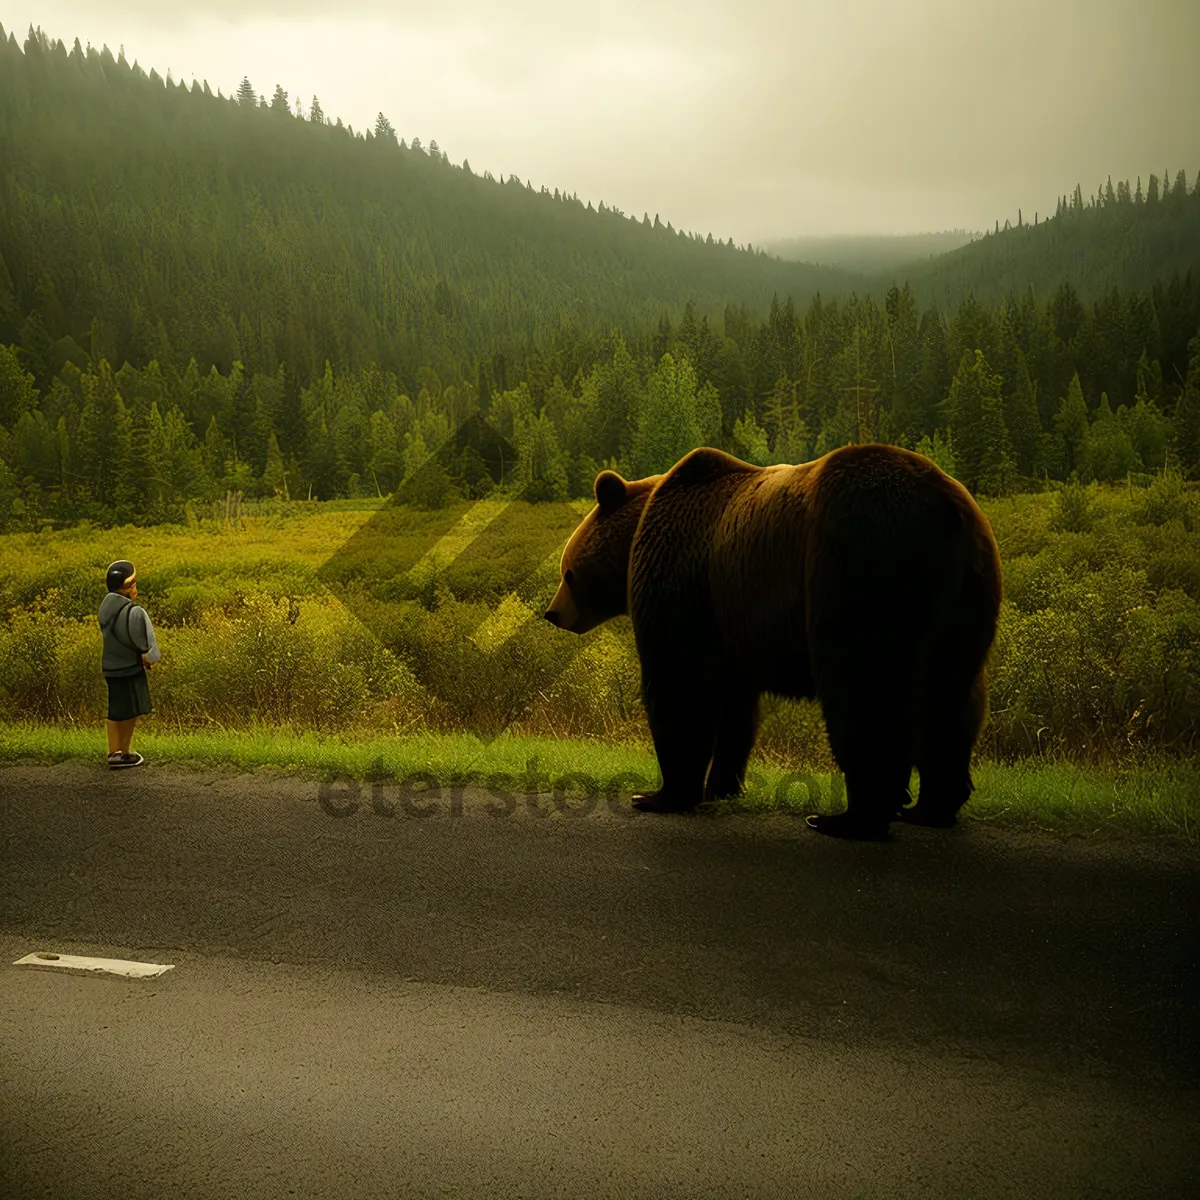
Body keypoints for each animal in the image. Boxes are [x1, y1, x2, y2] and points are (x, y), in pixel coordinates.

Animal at [544, 439, 1003, 835]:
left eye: (568, 571)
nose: (552, 612)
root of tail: (948, 508)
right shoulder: (728, 622)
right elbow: (735, 709)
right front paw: (721, 785)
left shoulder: (684, 580)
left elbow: (680, 684)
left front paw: (659, 795)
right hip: (967, 599)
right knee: (952, 701)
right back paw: (931, 807)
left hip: (862, 561)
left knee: (864, 687)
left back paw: (846, 818)